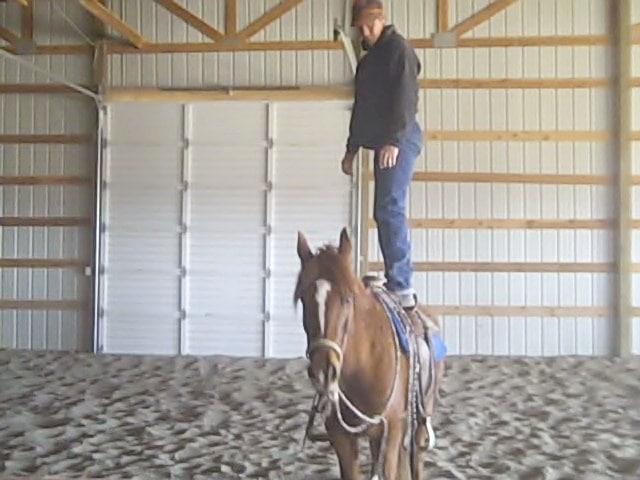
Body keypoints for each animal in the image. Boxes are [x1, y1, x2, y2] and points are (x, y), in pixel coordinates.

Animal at [293, 227, 446, 480]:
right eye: (304, 299)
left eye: (347, 299)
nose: (324, 370)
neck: (363, 368)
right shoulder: (340, 436)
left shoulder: (391, 431)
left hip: (418, 425)